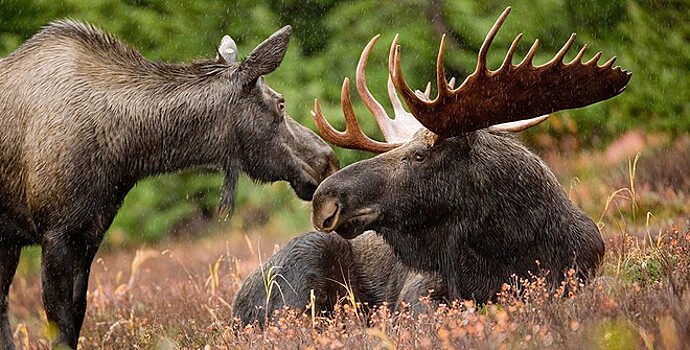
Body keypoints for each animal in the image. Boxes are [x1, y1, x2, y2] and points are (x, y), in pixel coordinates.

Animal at [0, 21, 338, 348]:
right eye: (280, 104)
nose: (328, 159)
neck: (124, 154)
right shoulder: (55, 233)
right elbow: (60, 325)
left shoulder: (89, 234)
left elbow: (76, 315)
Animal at [231, 6, 628, 326]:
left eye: (420, 155)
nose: (324, 200)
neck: (512, 245)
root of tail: (235, 307)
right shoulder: (418, 292)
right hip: (304, 266)